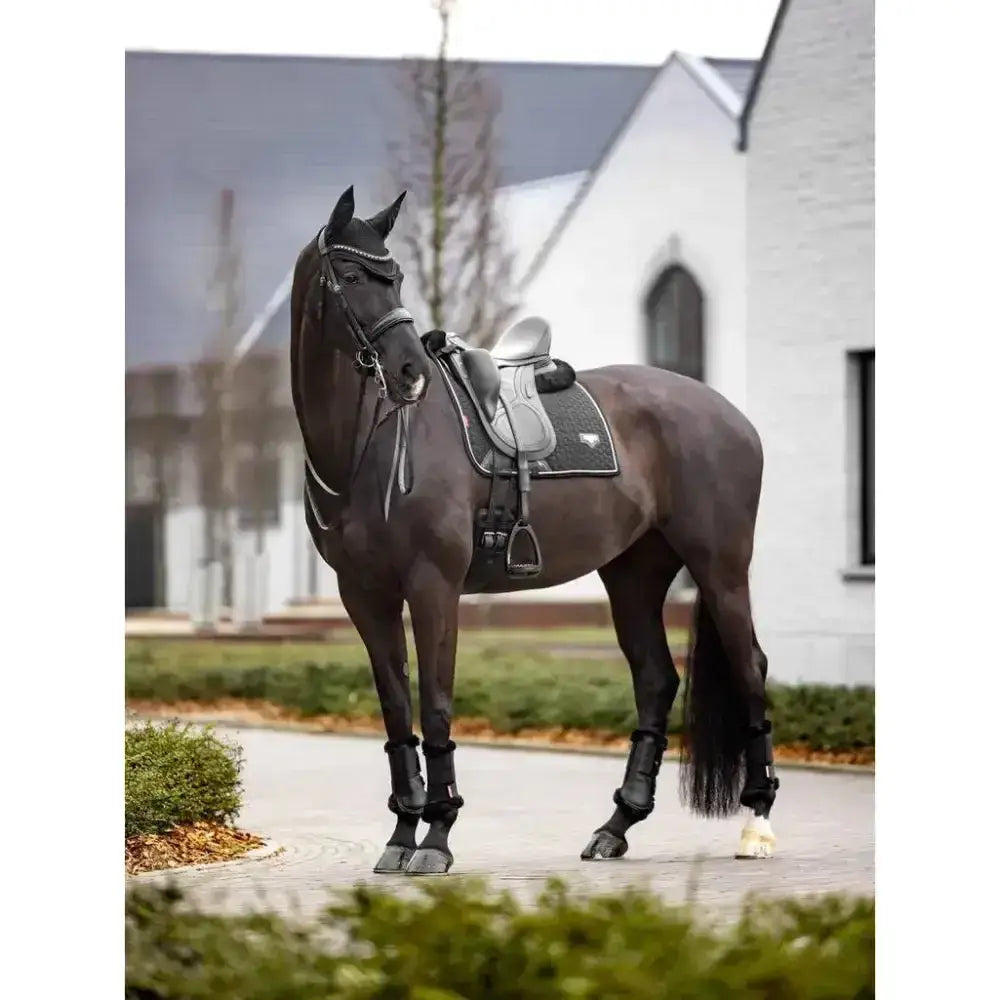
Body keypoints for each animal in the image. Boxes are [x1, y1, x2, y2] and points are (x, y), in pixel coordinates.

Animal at [290, 186, 779, 876]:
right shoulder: (364, 595)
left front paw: (436, 838)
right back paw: (615, 827)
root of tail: (727, 412)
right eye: (354, 275)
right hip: (634, 574)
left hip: (720, 567)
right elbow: (396, 711)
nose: (410, 371)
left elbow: (435, 705)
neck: (370, 444)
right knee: (656, 680)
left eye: (399, 277)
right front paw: (401, 836)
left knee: (749, 669)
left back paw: (757, 823)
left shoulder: (433, 586)